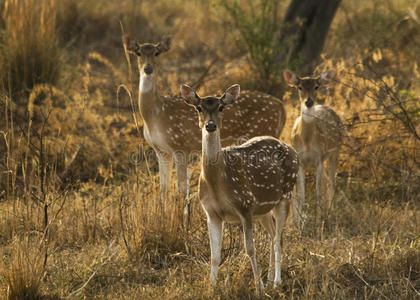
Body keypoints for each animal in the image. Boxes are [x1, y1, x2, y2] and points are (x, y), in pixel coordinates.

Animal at [121, 36, 286, 220]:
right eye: (138, 53)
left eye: (157, 53)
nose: (148, 68)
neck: (155, 115)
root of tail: (282, 107)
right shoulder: (160, 150)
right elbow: (164, 188)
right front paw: (164, 216)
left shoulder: (180, 146)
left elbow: (181, 188)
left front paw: (181, 220)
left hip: (262, 130)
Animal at [180, 83, 298, 294]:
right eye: (199, 108)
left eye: (221, 107)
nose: (210, 125)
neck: (218, 181)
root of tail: (293, 150)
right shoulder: (211, 213)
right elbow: (214, 254)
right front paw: (212, 286)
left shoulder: (244, 205)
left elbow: (250, 249)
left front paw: (258, 288)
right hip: (262, 209)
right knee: (272, 234)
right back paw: (270, 279)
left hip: (285, 194)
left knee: (279, 239)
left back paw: (276, 282)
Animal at [282, 68, 344, 225]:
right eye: (299, 87)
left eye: (316, 87)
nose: (309, 101)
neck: (307, 141)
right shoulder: (300, 162)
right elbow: (301, 195)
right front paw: (298, 222)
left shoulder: (319, 158)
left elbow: (317, 193)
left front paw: (320, 219)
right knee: (328, 181)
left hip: (335, 152)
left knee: (331, 182)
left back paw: (331, 212)